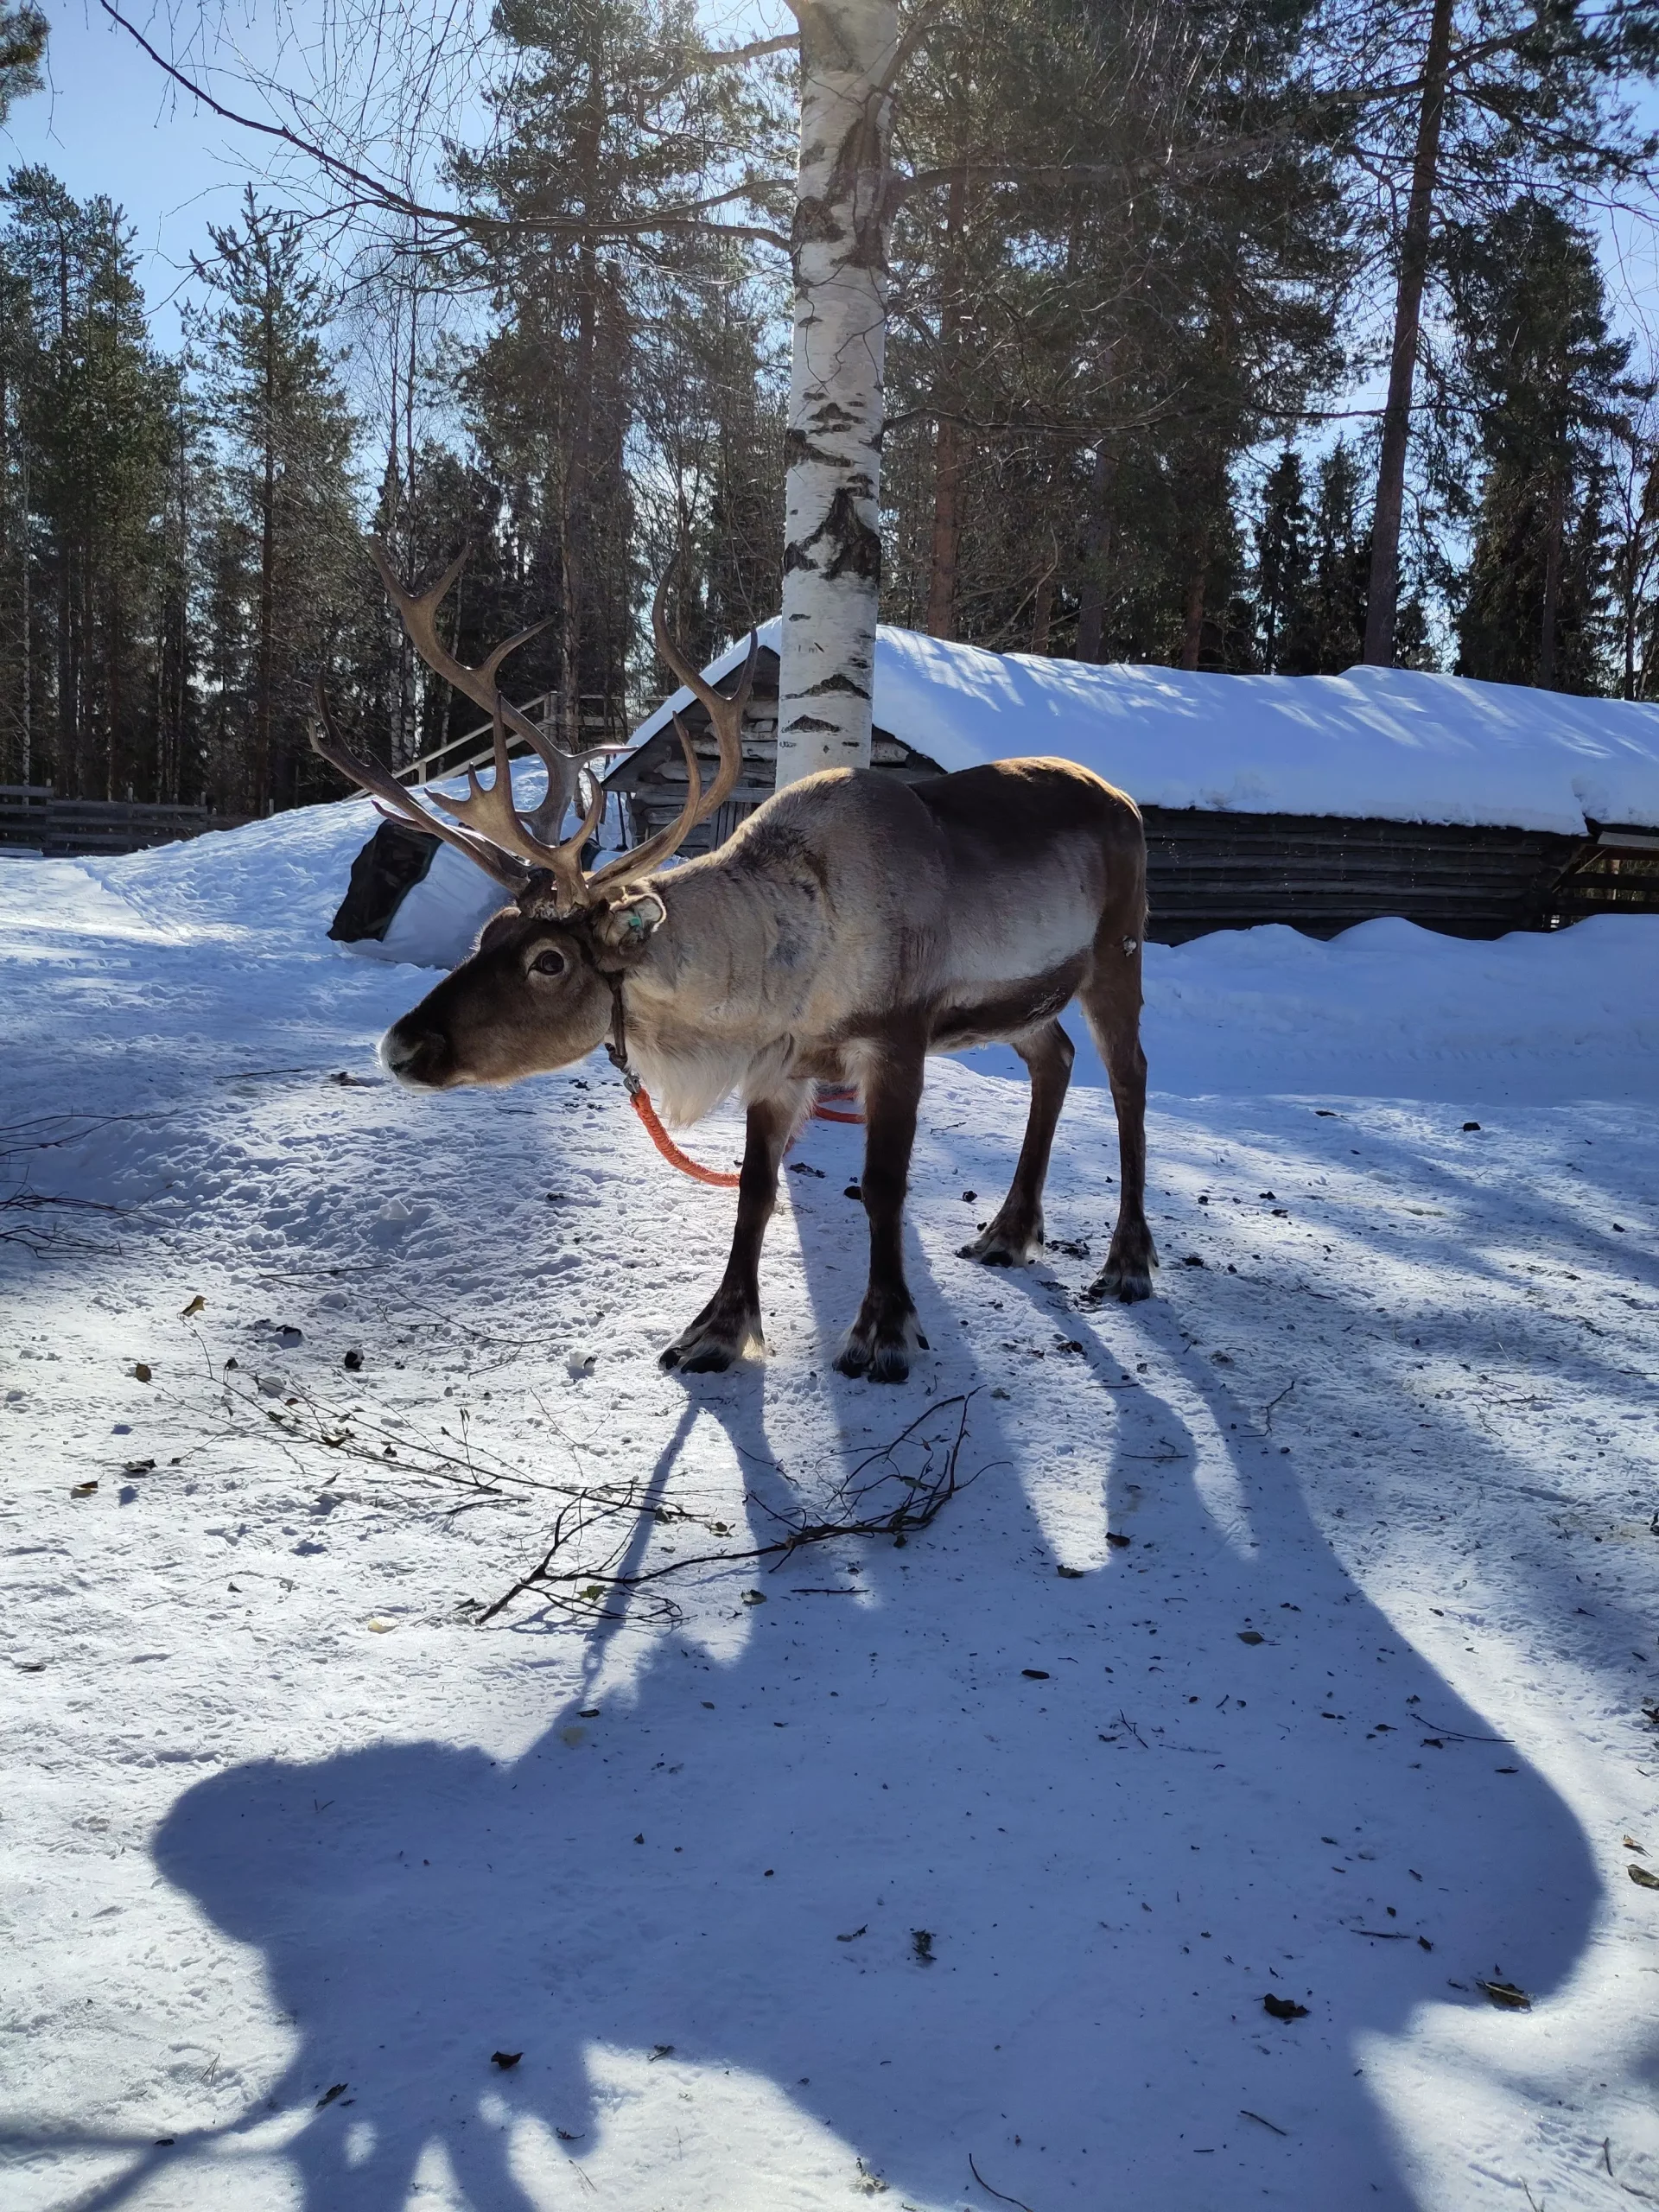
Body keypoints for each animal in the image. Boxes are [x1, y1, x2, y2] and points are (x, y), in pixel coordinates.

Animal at [310, 544, 1156, 1382]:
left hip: (1118, 953)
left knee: (1128, 1077)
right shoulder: (776, 1065)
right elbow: (754, 1189)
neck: (789, 961)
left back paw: (1127, 1261)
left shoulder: (897, 1039)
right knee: (1056, 1059)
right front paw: (716, 1330)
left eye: (549, 961)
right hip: (1025, 1002)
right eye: (488, 934)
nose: (402, 1045)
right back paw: (1009, 1232)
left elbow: (884, 1186)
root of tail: (1123, 799)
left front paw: (884, 1330)